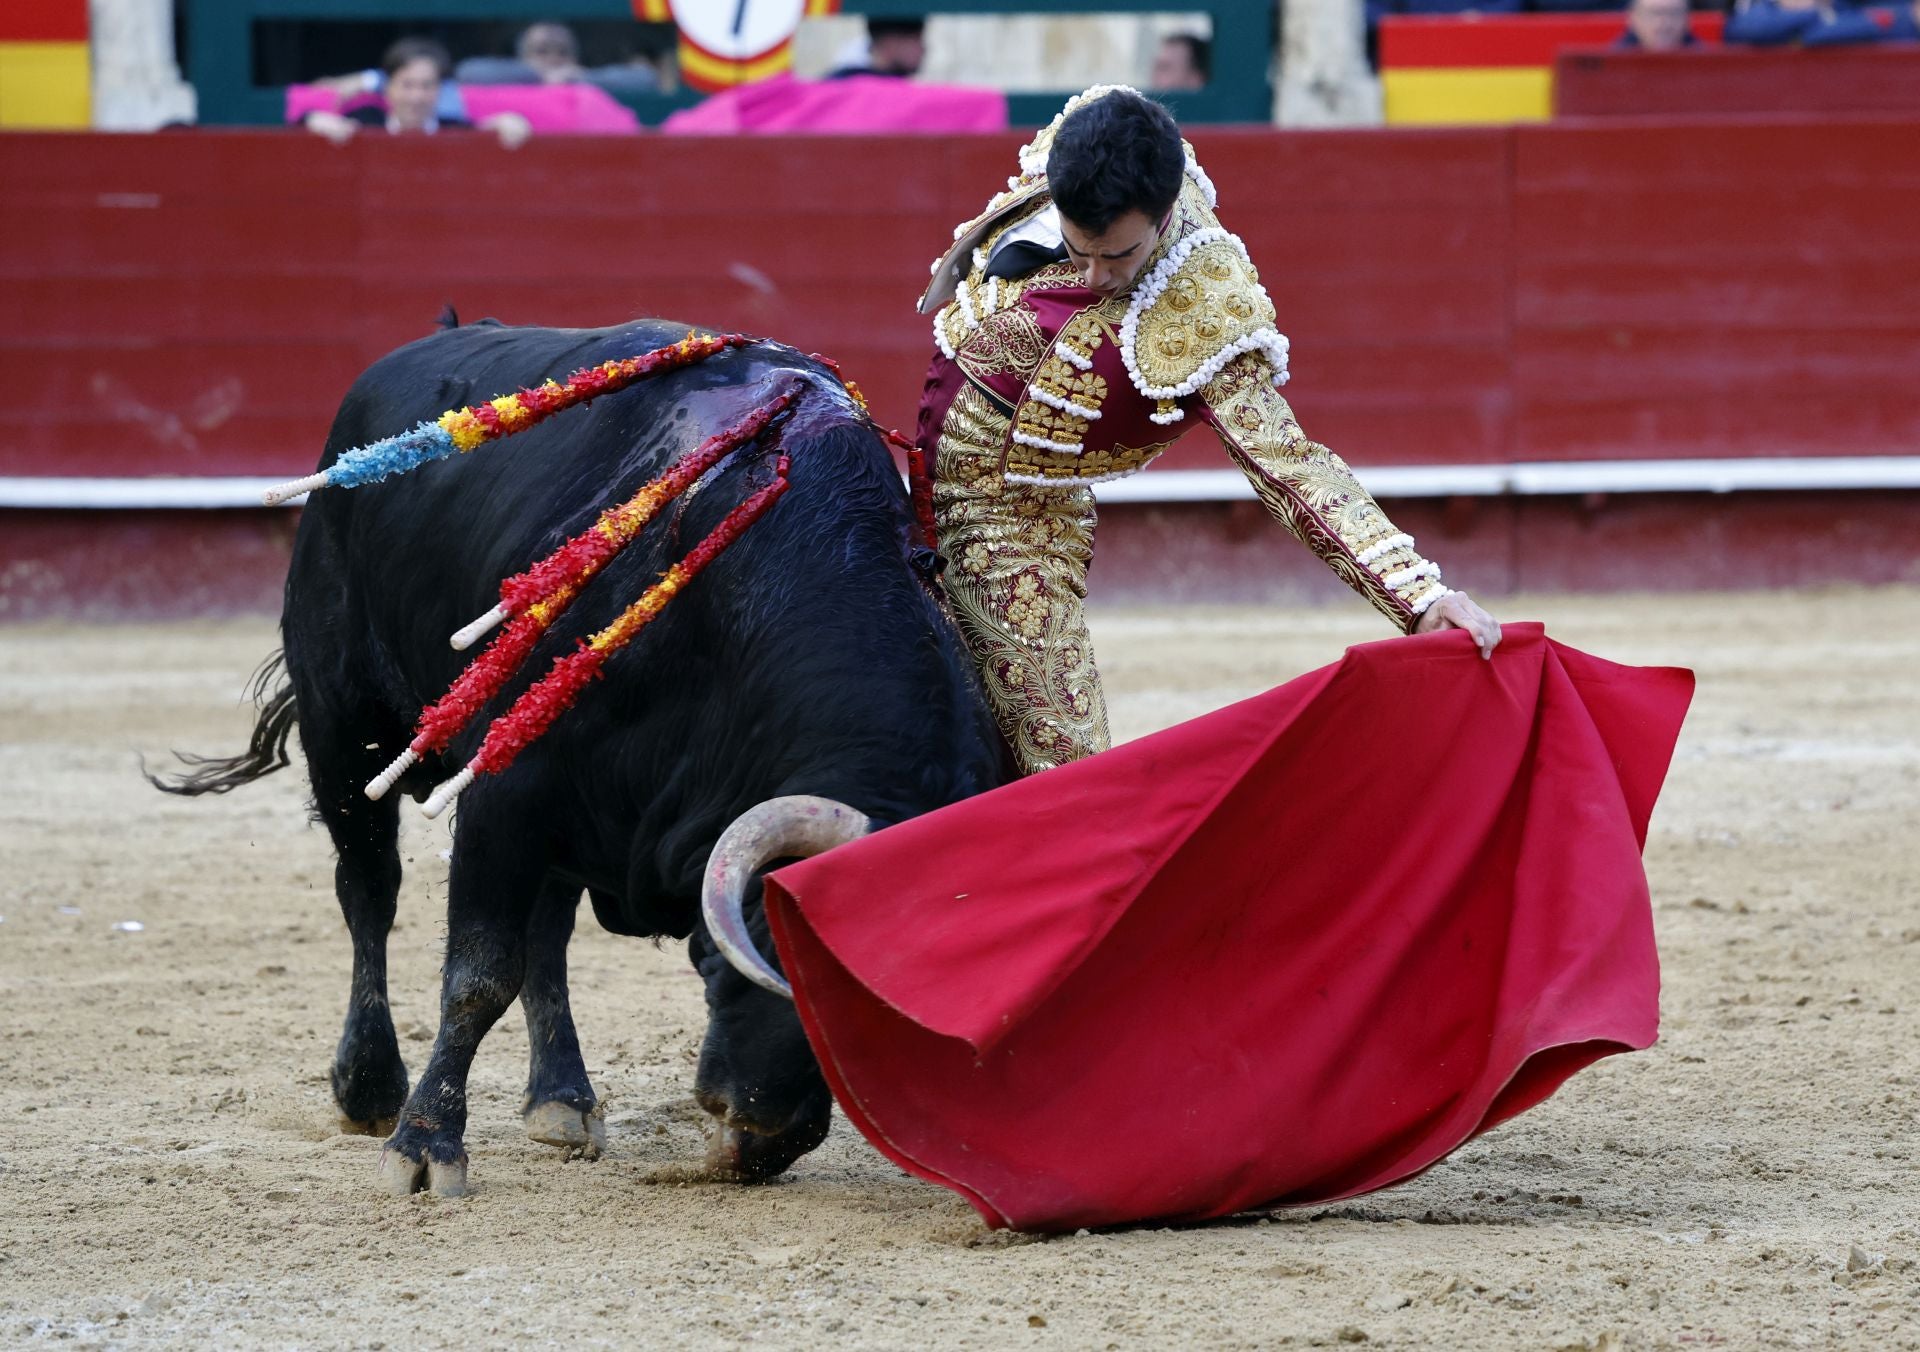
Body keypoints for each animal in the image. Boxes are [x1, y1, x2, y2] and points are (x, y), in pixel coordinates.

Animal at [149, 322, 1006, 1198]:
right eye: (795, 955)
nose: (768, 1139)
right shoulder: (501, 795)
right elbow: (478, 974)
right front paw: (424, 1146)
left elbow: (524, 953)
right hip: (344, 728)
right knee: (369, 893)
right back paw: (370, 1088)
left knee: (547, 937)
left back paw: (560, 1098)